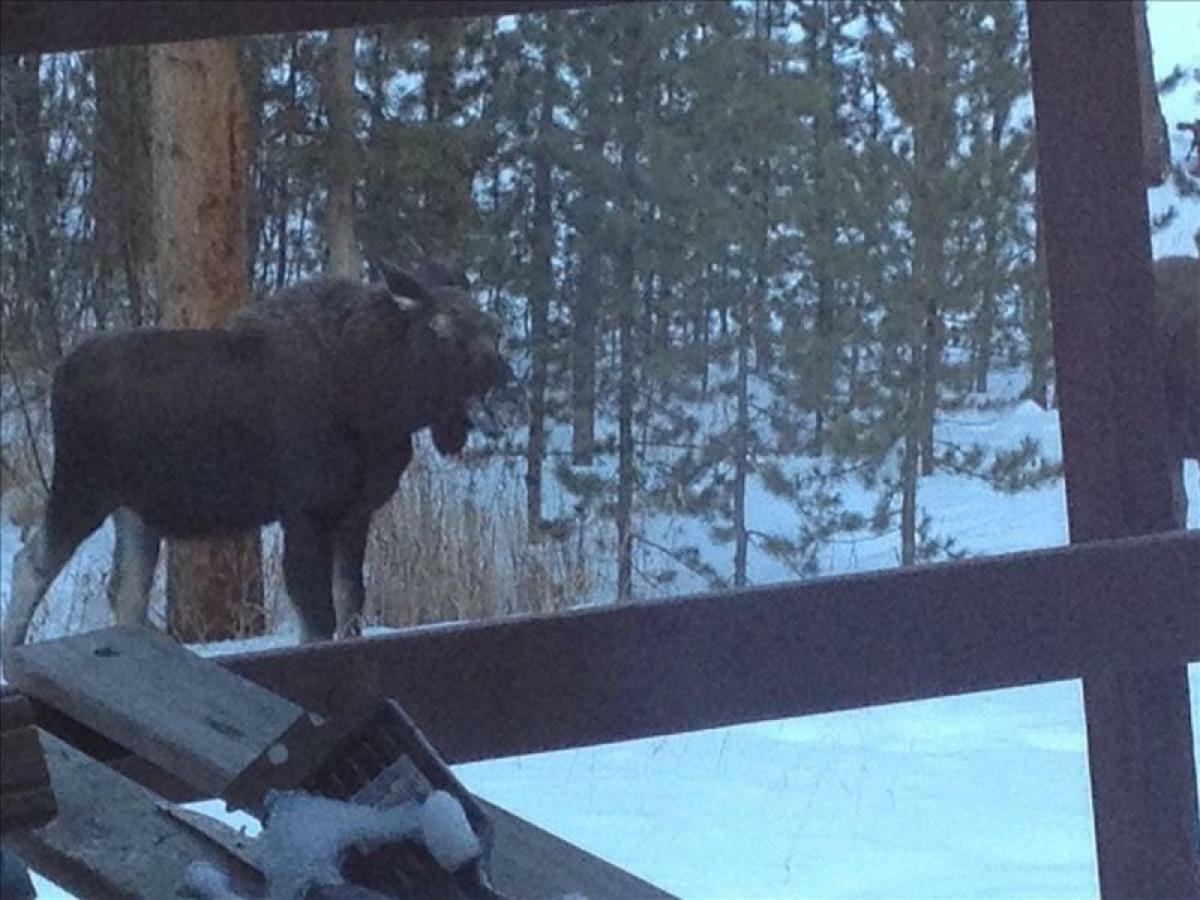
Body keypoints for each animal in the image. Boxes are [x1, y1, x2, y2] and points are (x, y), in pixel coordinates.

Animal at [4, 260, 520, 648]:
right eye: (441, 330)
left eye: (496, 330)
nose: (505, 395)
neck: (377, 405)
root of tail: (61, 372)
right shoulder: (306, 512)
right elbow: (317, 616)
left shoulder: (355, 513)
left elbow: (351, 604)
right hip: (81, 487)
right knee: (31, 564)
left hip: (134, 511)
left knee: (126, 592)